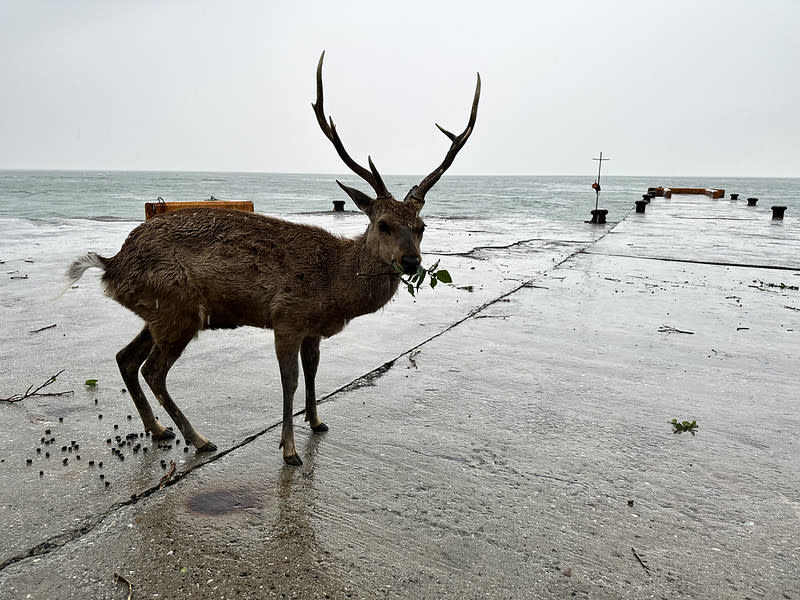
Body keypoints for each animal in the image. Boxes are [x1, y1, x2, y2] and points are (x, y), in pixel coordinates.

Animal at [65, 52, 478, 464]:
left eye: (422, 225)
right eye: (383, 224)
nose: (411, 262)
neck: (333, 285)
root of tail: (112, 264)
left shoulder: (313, 328)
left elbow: (312, 372)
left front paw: (317, 422)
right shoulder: (287, 316)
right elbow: (289, 381)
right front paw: (290, 450)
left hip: (158, 313)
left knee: (125, 358)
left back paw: (158, 429)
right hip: (177, 307)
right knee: (153, 371)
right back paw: (198, 438)